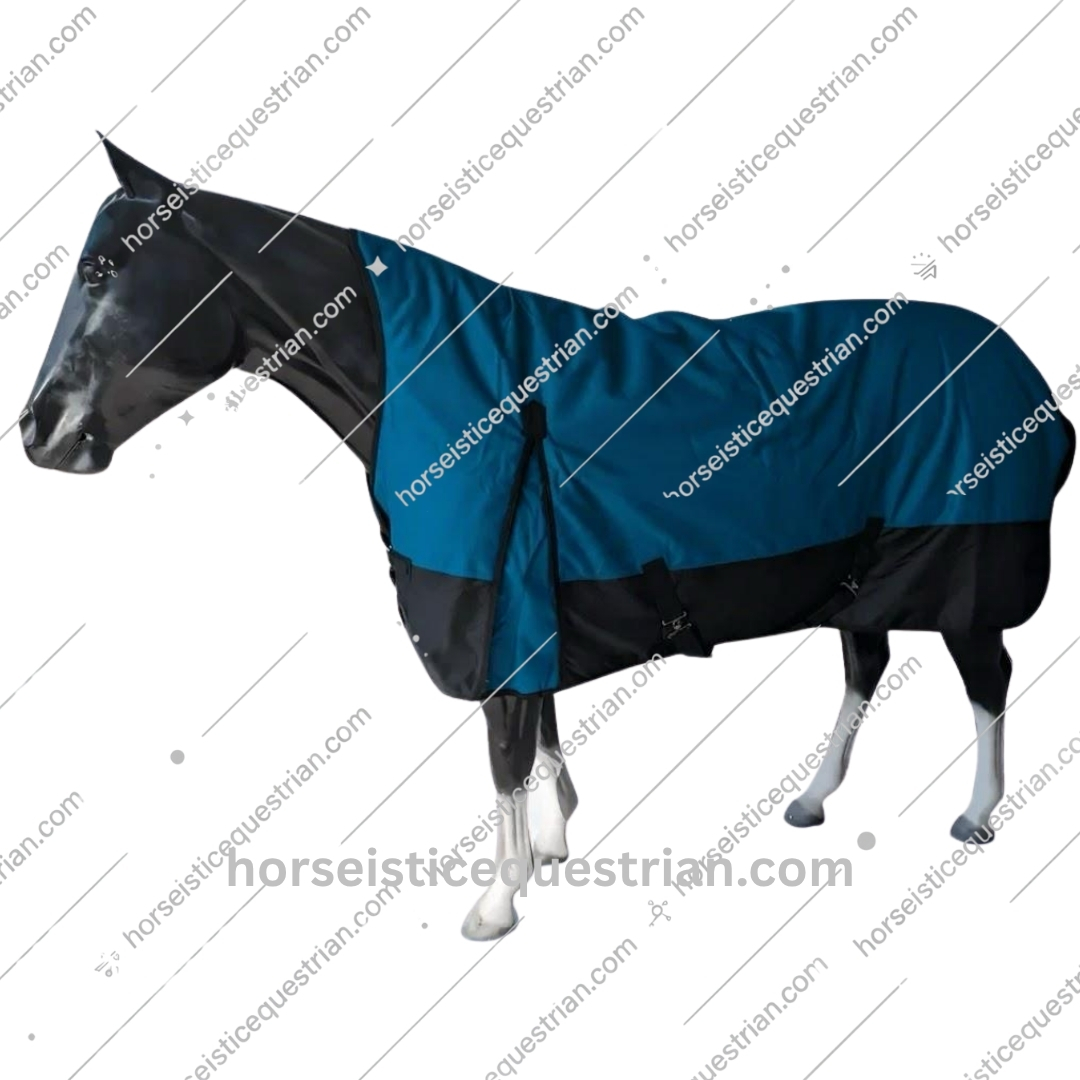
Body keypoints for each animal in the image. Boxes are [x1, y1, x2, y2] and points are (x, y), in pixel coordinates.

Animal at [23, 140, 1074, 940]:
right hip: (864, 573)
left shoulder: (500, 609)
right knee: (865, 666)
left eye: (102, 269)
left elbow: (503, 757)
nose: (40, 430)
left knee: (987, 680)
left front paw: (496, 903)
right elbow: (540, 736)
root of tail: (1033, 384)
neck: (437, 380)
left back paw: (976, 815)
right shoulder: (530, 601)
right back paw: (814, 800)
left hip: (965, 577)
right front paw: (554, 849)